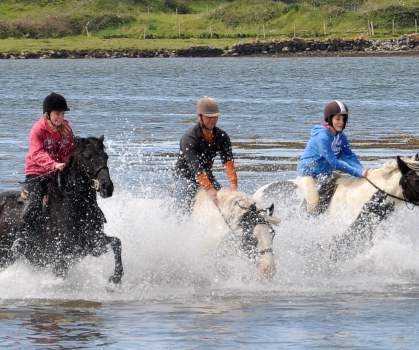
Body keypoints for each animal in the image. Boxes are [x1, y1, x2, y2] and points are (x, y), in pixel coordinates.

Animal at [0, 135, 124, 284]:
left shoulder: (92, 242)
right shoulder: (61, 256)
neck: (75, 206)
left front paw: (116, 277)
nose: (107, 187)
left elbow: (116, 242)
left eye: (106, 156)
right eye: (87, 156)